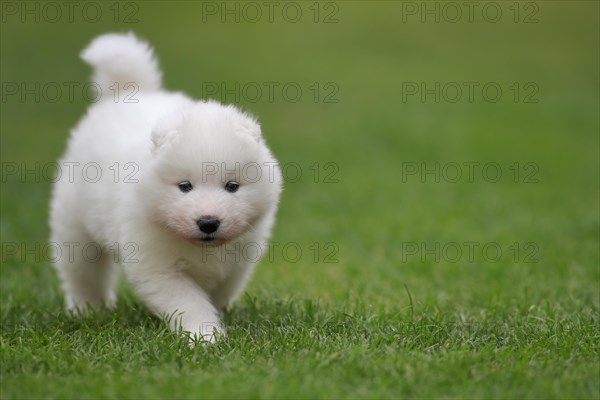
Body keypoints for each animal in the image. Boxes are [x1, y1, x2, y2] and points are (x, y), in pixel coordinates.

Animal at [48, 32, 282, 342]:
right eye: (184, 186)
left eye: (232, 186)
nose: (208, 222)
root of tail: (127, 92)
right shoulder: (157, 264)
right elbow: (188, 301)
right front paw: (204, 337)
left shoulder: (238, 261)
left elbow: (217, 293)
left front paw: (214, 323)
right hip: (75, 227)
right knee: (83, 273)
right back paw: (88, 310)